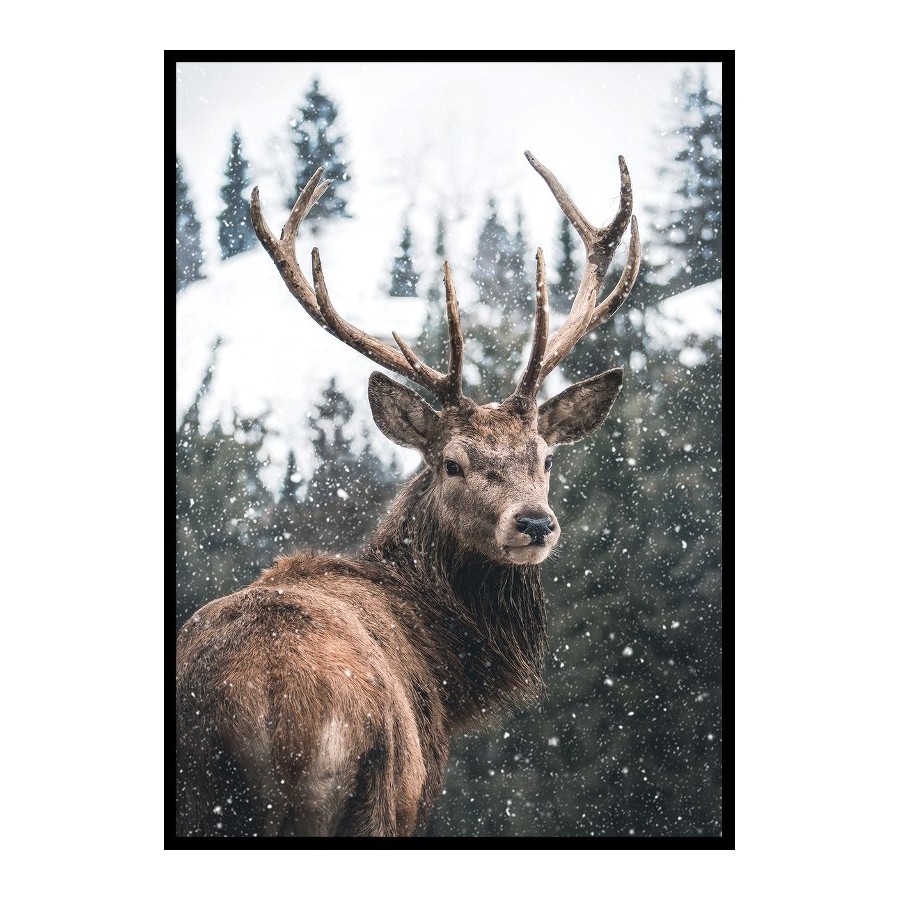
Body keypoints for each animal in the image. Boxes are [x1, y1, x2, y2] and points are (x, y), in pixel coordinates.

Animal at [176, 151, 641, 838]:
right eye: (451, 463)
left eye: (547, 457)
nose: (534, 523)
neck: (444, 669)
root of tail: (264, 710)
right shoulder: (411, 795)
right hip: (366, 795)